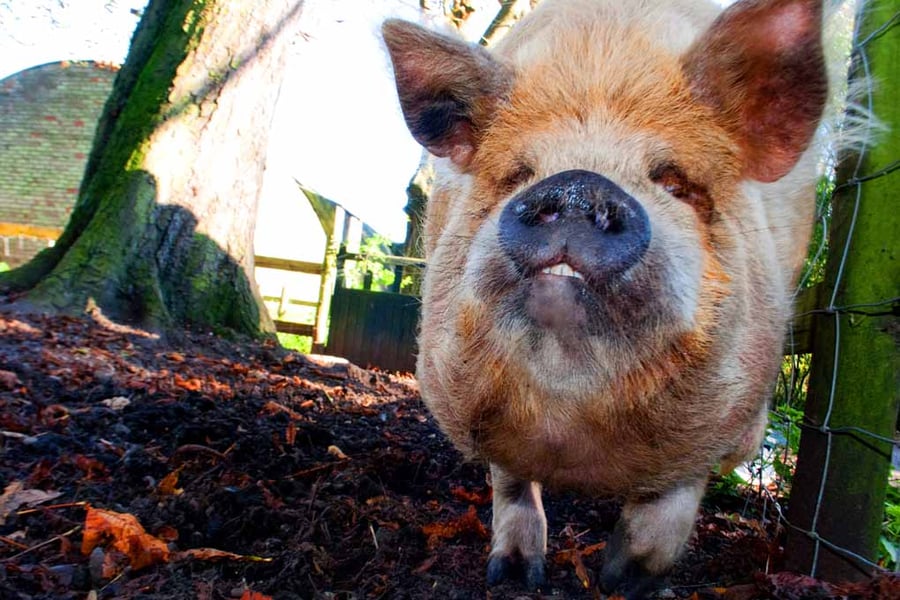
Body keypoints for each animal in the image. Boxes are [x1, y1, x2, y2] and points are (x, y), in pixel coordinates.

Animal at [383, 0, 832, 596]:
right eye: (519, 174)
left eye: (674, 182)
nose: (579, 185)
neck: (573, 435)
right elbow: (511, 486)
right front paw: (514, 575)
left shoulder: (728, 425)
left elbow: (670, 508)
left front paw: (623, 583)